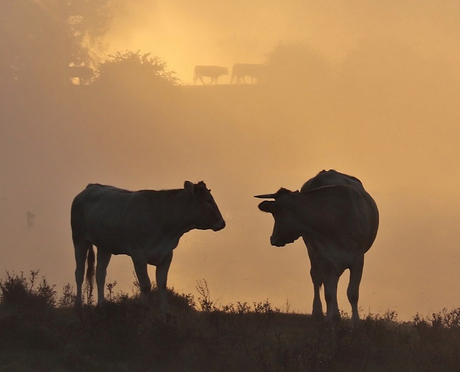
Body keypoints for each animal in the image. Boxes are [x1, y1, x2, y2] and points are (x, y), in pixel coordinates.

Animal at [70, 182, 226, 316]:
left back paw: (102, 305)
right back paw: (78, 306)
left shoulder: (166, 254)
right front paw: (144, 309)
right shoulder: (138, 255)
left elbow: (162, 283)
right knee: (79, 272)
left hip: (105, 246)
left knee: (100, 274)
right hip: (79, 238)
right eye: (208, 200)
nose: (222, 223)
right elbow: (145, 284)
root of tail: (91, 187)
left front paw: (166, 312)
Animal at [256, 170, 380, 322]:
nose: (273, 239)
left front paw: (355, 321)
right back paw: (319, 312)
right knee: (317, 277)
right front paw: (329, 319)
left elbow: (352, 293)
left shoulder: (358, 258)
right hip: (313, 250)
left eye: (275, 213)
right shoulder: (325, 257)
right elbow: (329, 292)